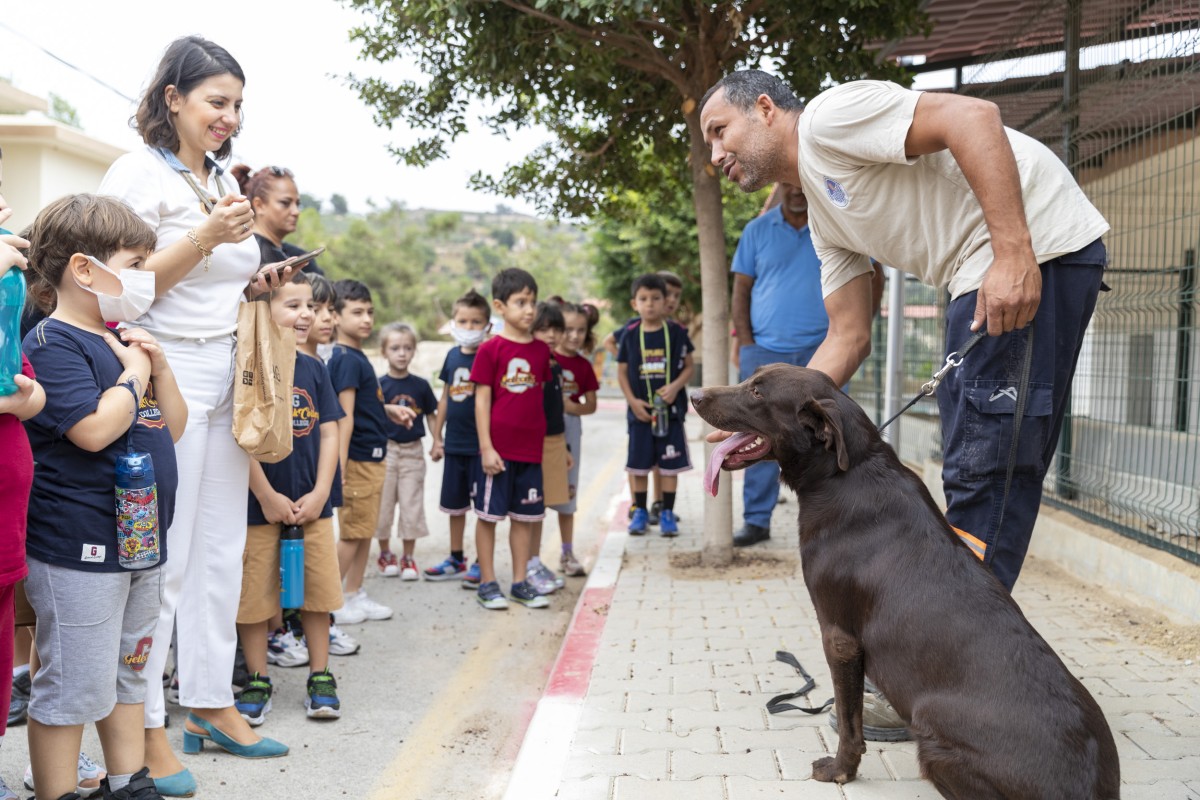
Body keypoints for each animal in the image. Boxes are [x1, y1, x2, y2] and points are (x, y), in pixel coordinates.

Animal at [691, 367, 1118, 796]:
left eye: (757, 392)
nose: (694, 395)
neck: (844, 472)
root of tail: (1088, 788)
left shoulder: (840, 638)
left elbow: (848, 720)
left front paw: (840, 770)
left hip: (932, 735)